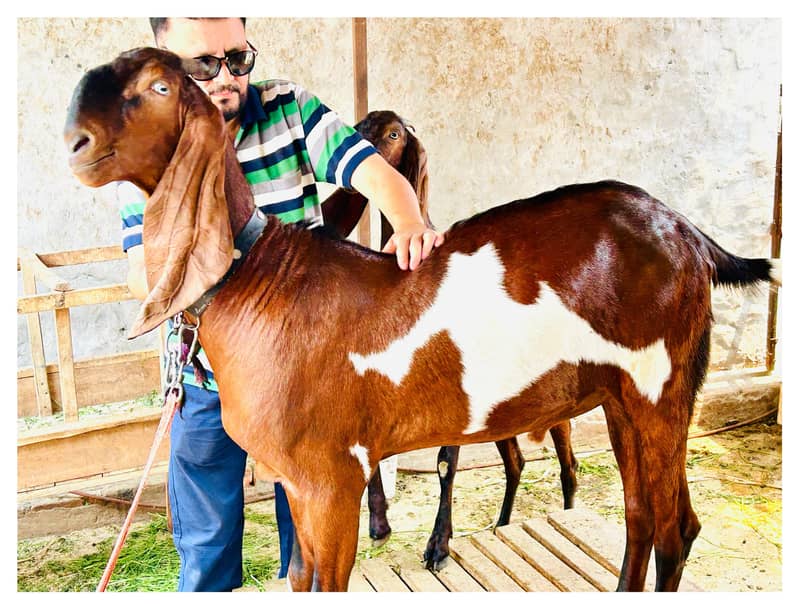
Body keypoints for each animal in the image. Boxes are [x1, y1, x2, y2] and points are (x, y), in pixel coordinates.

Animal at [324, 110, 578, 568]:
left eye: (394, 134)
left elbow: (445, 464)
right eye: (359, 125)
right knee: (515, 461)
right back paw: (501, 525)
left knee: (568, 462)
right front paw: (379, 524)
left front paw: (438, 545)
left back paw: (567, 516)